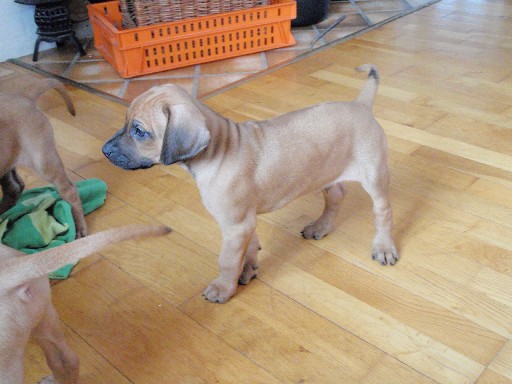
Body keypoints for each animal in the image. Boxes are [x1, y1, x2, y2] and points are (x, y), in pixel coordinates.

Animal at [0, 77, 87, 237]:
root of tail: (23, 98)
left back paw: (80, 227)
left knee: (70, 190)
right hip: (8, 157)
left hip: (44, 160)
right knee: (14, 188)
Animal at [103, 63, 400, 304]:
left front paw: (223, 288)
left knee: (383, 211)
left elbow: (227, 260)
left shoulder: (235, 225)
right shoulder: (244, 222)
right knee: (336, 194)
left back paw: (384, 247)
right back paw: (321, 227)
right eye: (126, 123)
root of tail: (360, 105)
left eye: (139, 131)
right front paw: (248, 268)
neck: (219, 150)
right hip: (325, 171)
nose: (105, 150)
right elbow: (249, 247)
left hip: (374, 174)